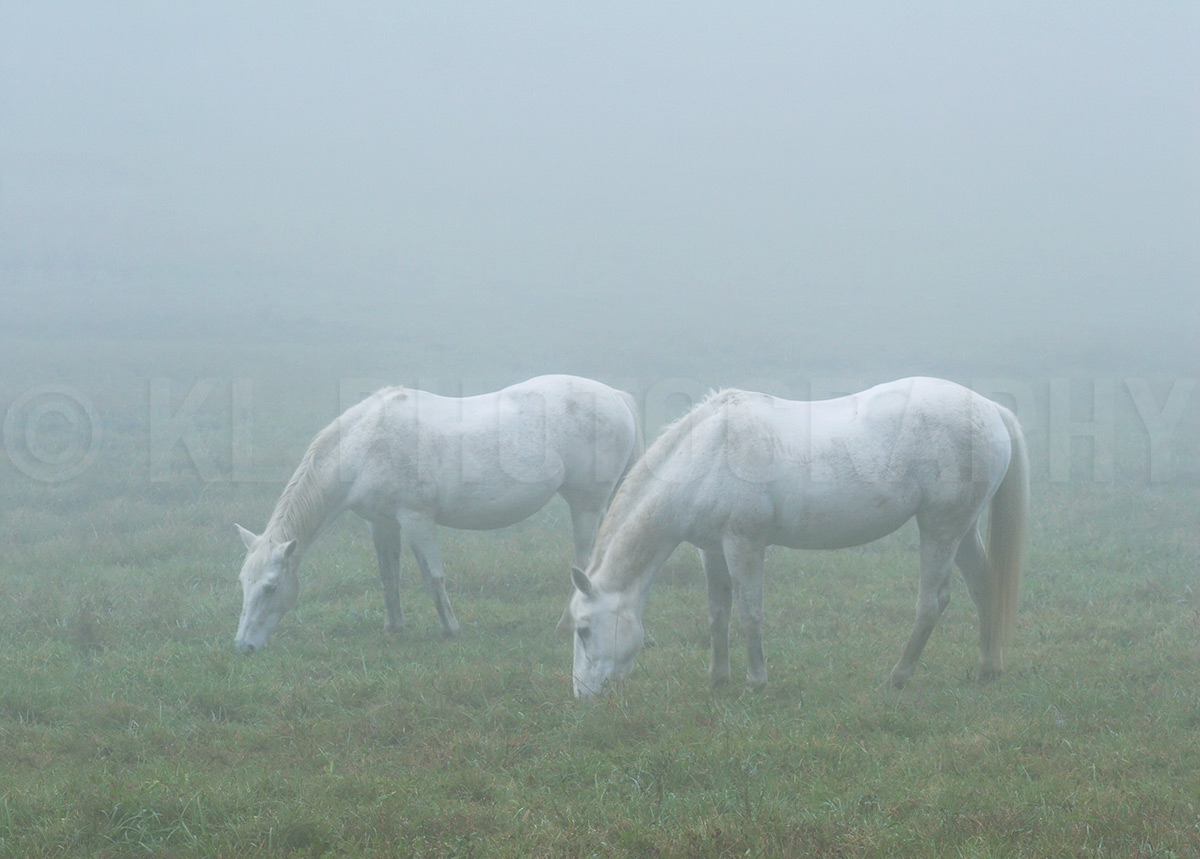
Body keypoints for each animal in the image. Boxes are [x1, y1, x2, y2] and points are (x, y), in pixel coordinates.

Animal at [234, 374, 643, 654]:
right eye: (243, 584)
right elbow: (388, 576)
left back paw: (565, 625)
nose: (244, 646)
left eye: (271, 588)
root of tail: (618, 397)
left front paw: (450, 629)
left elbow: (433, 576)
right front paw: (393, 627)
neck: (364, 446)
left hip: (586, 505)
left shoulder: (416, 520)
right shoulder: (380, 523)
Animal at [558, 377, 1029, 698]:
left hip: (940, 528)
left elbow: (749, 613)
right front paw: (717, 679)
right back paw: (988, 668)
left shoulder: (744, 545)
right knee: (983, 587)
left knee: (932, 603)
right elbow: (717, 615)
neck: (709, 454)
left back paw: (898, 677)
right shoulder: (712, 550)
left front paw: (756, 681)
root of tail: (990, 409)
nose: (582, 695)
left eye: (583, 630)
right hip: (961, 528)